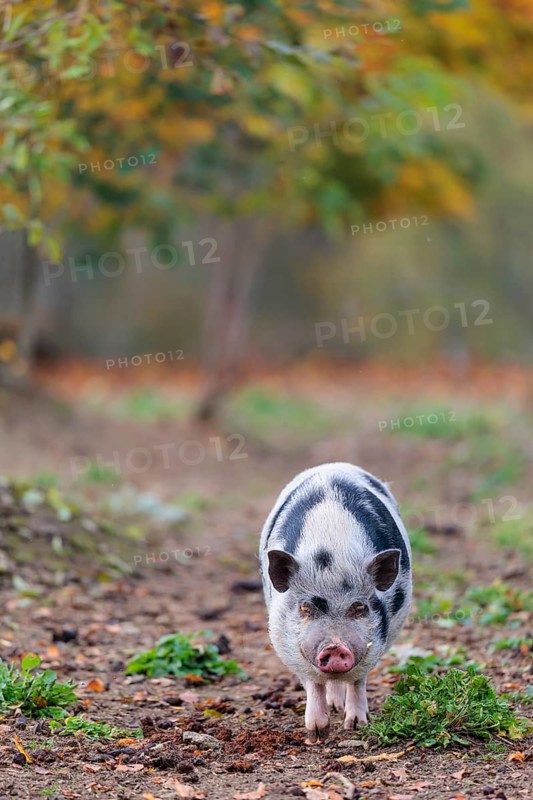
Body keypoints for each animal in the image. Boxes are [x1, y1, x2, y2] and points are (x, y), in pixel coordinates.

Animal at [259, 462, 412, 743]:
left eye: (360, 607)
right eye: (305, 607)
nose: (334, 646)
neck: (332, 553)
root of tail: (332, 466)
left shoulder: (376, 642)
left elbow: (358, 680)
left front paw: (356, 726)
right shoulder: (287, 644)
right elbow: (313, 683)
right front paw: (317, 734)